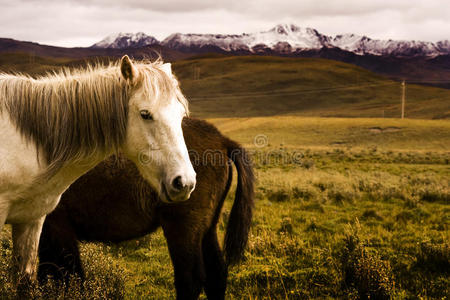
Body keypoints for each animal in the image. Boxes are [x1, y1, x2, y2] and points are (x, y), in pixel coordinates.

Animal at [37, 118, 255, 300]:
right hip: (208, 228)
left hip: (182, 229)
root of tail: (222, 140)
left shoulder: (57, 229)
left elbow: (68, 277)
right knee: (216, 274)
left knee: (190, 280)